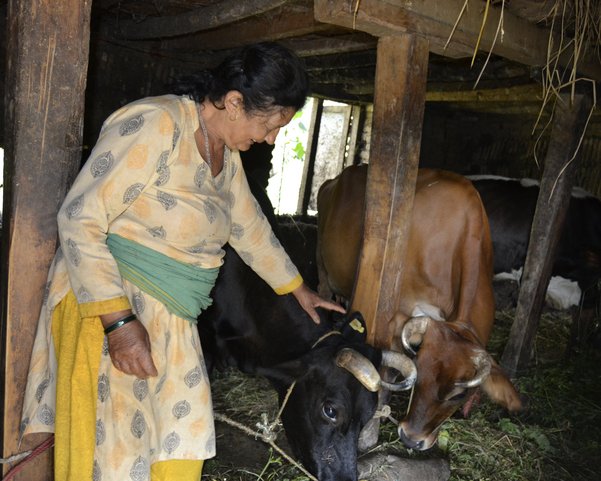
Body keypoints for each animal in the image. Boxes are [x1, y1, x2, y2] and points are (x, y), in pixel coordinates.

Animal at [316, 165, 524, 450]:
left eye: (459, 394)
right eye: (420, 376)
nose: (411, 439)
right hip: (323, 268)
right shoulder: (395, 319)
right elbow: (386, 377)